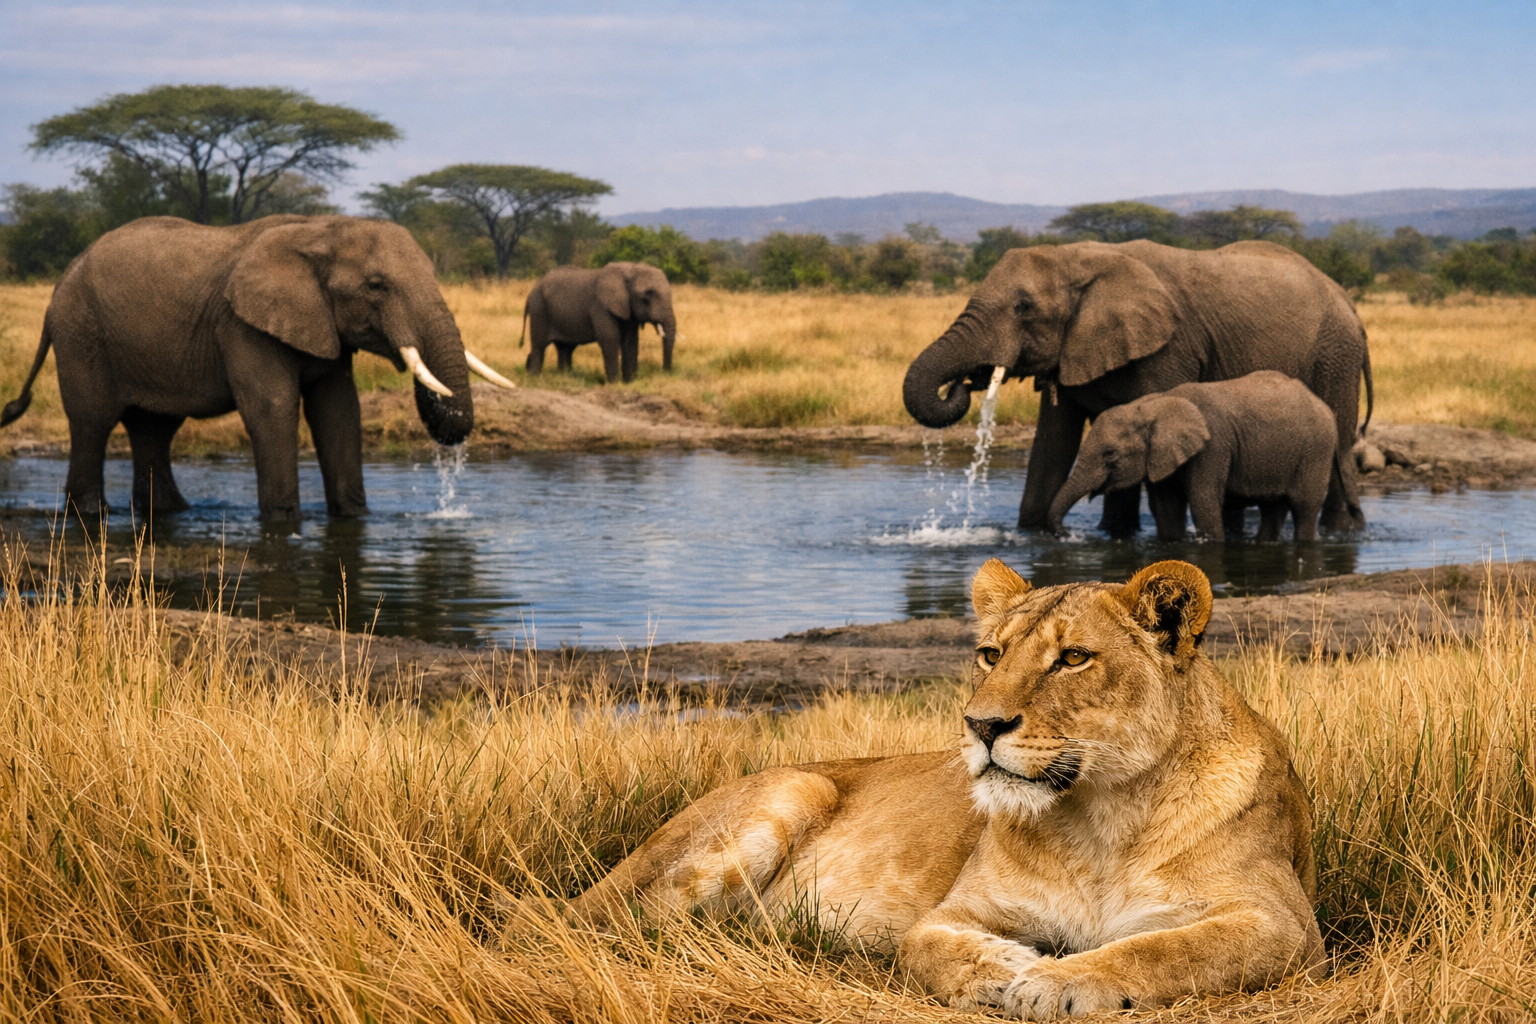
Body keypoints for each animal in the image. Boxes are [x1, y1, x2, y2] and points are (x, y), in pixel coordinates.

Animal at [569, 559, 1325, 1019]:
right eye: (992, 654)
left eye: (1072, 658)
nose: (981, 725)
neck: (1100, 819)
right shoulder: (956, 910)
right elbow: (927, 946)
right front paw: (1011, 968)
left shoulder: (1285, 926)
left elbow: (1163, 948)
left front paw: (1057, 980)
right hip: (792, 789)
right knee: (638, 927)